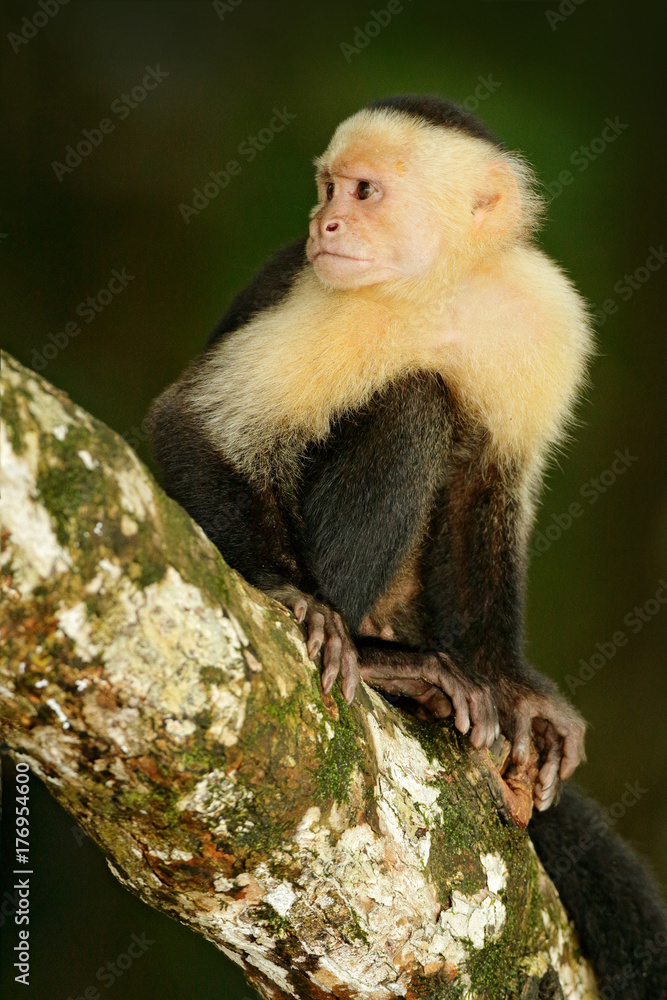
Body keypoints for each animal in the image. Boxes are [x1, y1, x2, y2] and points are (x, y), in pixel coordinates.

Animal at [149, 96, 667, 996]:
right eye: (328, 187)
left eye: (363, 192)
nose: (323, 224)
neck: (438, 288)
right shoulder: (332, 299)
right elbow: (192, 427)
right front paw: (291, 596)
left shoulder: (542, 312)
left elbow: (490, 495)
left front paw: (513, 687)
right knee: (415, 404)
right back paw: (380, 662)